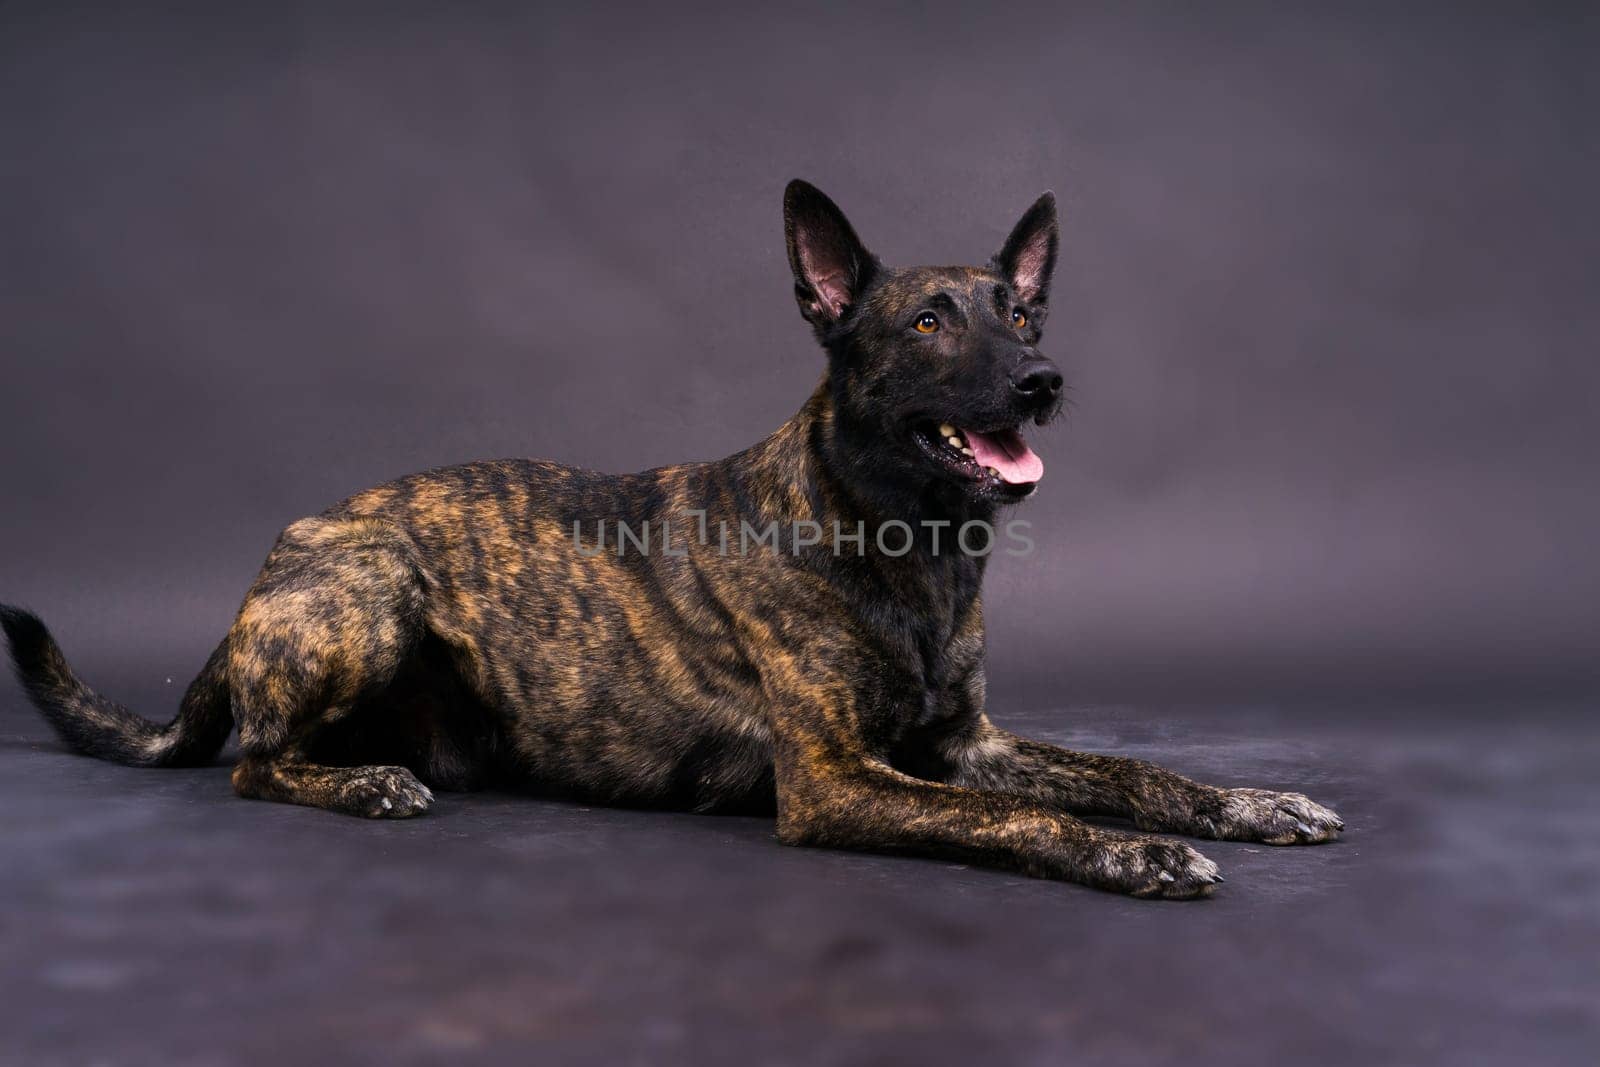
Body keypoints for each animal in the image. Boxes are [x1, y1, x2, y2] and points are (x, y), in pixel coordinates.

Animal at [6, 183, 1344, 902]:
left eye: (1022, 312)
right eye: (927, 321)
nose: (1043, 379)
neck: (905, 540)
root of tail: (263, 575)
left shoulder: (970, 743)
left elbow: (1127, 768)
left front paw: (1247, 800)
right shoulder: (839, 780)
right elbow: (1028, 819)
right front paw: (1137, 856)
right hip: (372, 583)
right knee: (252, 762)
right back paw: (361, 780)